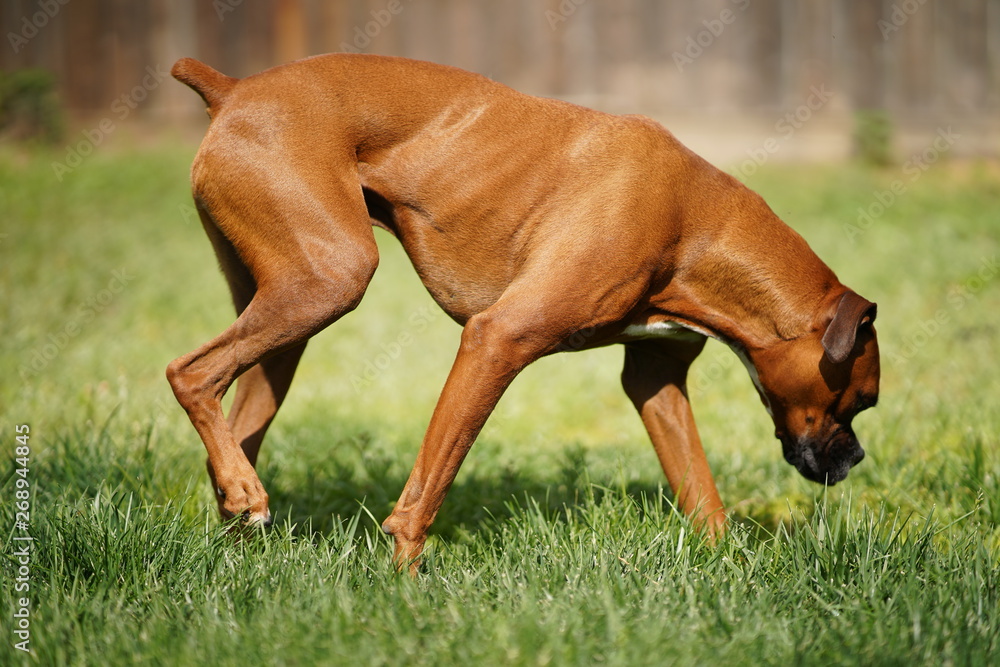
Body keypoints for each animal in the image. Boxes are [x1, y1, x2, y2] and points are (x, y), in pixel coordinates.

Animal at [167, 54, 880, 570]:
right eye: (862, 400)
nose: (857, 459)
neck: (695, 222)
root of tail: (234, 90)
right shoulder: (497, 341)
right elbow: (430, 482)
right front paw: (405, 583)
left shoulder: (656, 380)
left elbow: (702, 493)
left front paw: (728, 570)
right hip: (327, 283)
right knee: (191, 373)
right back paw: (246, 495)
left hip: (285, 323)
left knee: (231, 420)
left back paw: (242, 522)